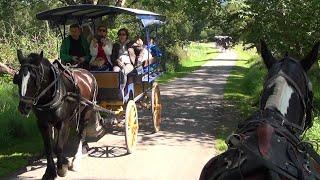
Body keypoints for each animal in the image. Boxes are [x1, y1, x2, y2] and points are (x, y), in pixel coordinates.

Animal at [13, 50, 99, 179]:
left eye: (34, 79)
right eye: (18, 79)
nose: (23, 107)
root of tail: (88, 74)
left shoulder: (63, 121)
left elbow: (58, 146)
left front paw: (61, 169)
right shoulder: (42, 123)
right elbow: (49, 147)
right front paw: (50, 171)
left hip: (87, 110)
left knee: (81, 132)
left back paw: (77, 158)